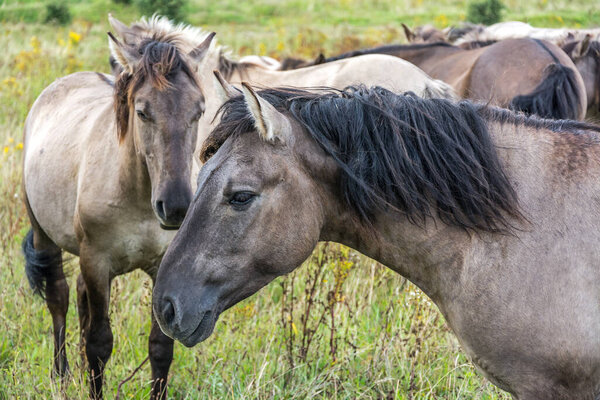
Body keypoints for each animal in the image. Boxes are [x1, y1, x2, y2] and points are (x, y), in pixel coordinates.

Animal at [21, 23, 213, 398]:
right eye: (142, 111)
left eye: (198, 111)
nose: (176, 207)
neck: (137, 198)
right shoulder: (97, 261)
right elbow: (99, 342)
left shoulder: (159, 266)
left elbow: (160, 347)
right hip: (44, 237)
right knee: (59, 298)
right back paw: (61, 374)